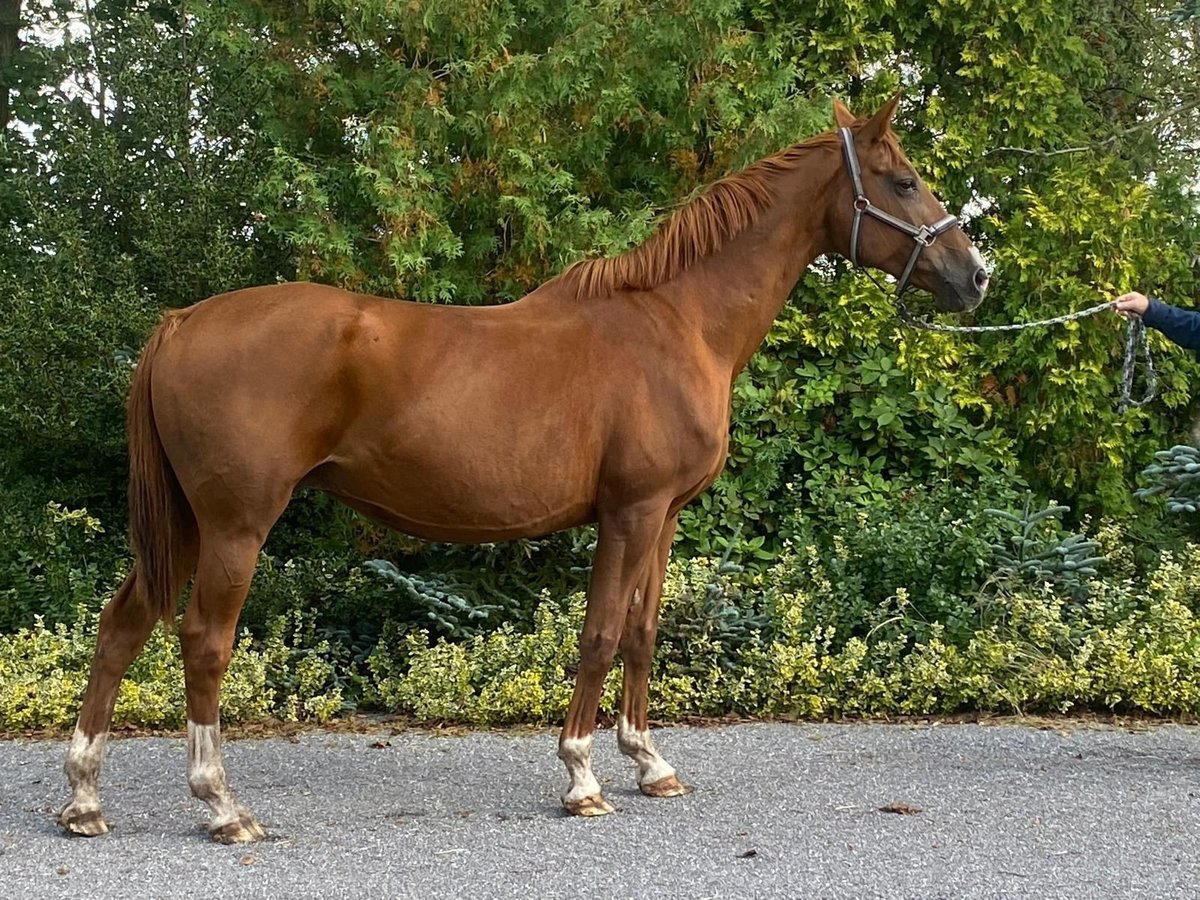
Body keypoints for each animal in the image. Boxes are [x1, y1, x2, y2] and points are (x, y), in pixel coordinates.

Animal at [58, 95, 984, 844]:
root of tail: (181, 322)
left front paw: (650, 764)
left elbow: (643, 633)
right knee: (203, 642)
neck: (676, 321)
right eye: (903, 181)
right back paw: (221, 806)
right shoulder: (630, 511)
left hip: (183, 524)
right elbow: (601, 633)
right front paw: (581, 778)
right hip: (236, 526)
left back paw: (85, 801)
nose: (975, 276)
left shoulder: (665, 516)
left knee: (122, 625)